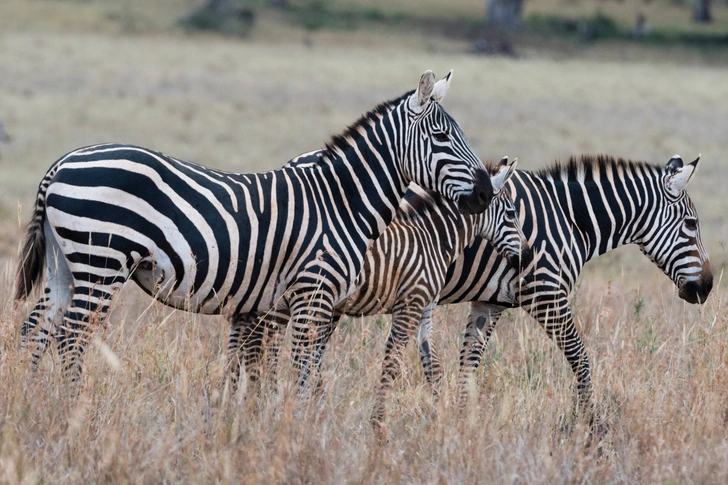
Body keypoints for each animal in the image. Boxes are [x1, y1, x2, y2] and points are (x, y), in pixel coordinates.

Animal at [12, 69, 494, 390]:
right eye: (441, 137)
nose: (487, 191)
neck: (341, 201)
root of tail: (62, 162)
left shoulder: (281, 303)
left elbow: (266, 371)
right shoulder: (313, 294)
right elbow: (303, 372)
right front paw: (297, 433)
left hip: (65, 263)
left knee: (36, 328)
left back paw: (33, 401)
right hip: (101, 261)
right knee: (71, 337)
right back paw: (71, 406)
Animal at [228, 157, 536, 430]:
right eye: (511, 214)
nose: (528, 255)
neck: (433, 238)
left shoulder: (424, 308)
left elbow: (433, 366)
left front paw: (443, 419)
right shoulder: (410, 303)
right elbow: (392, 363)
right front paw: (378, 426)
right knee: (262, 351)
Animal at [412, 153, 712, 430]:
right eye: (691, 224)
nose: (708, 286)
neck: (570, 219)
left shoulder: (489, 303)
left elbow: (469, 362)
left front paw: (459, 422)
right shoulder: (546, 293)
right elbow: (580, 358)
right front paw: (591, 425)